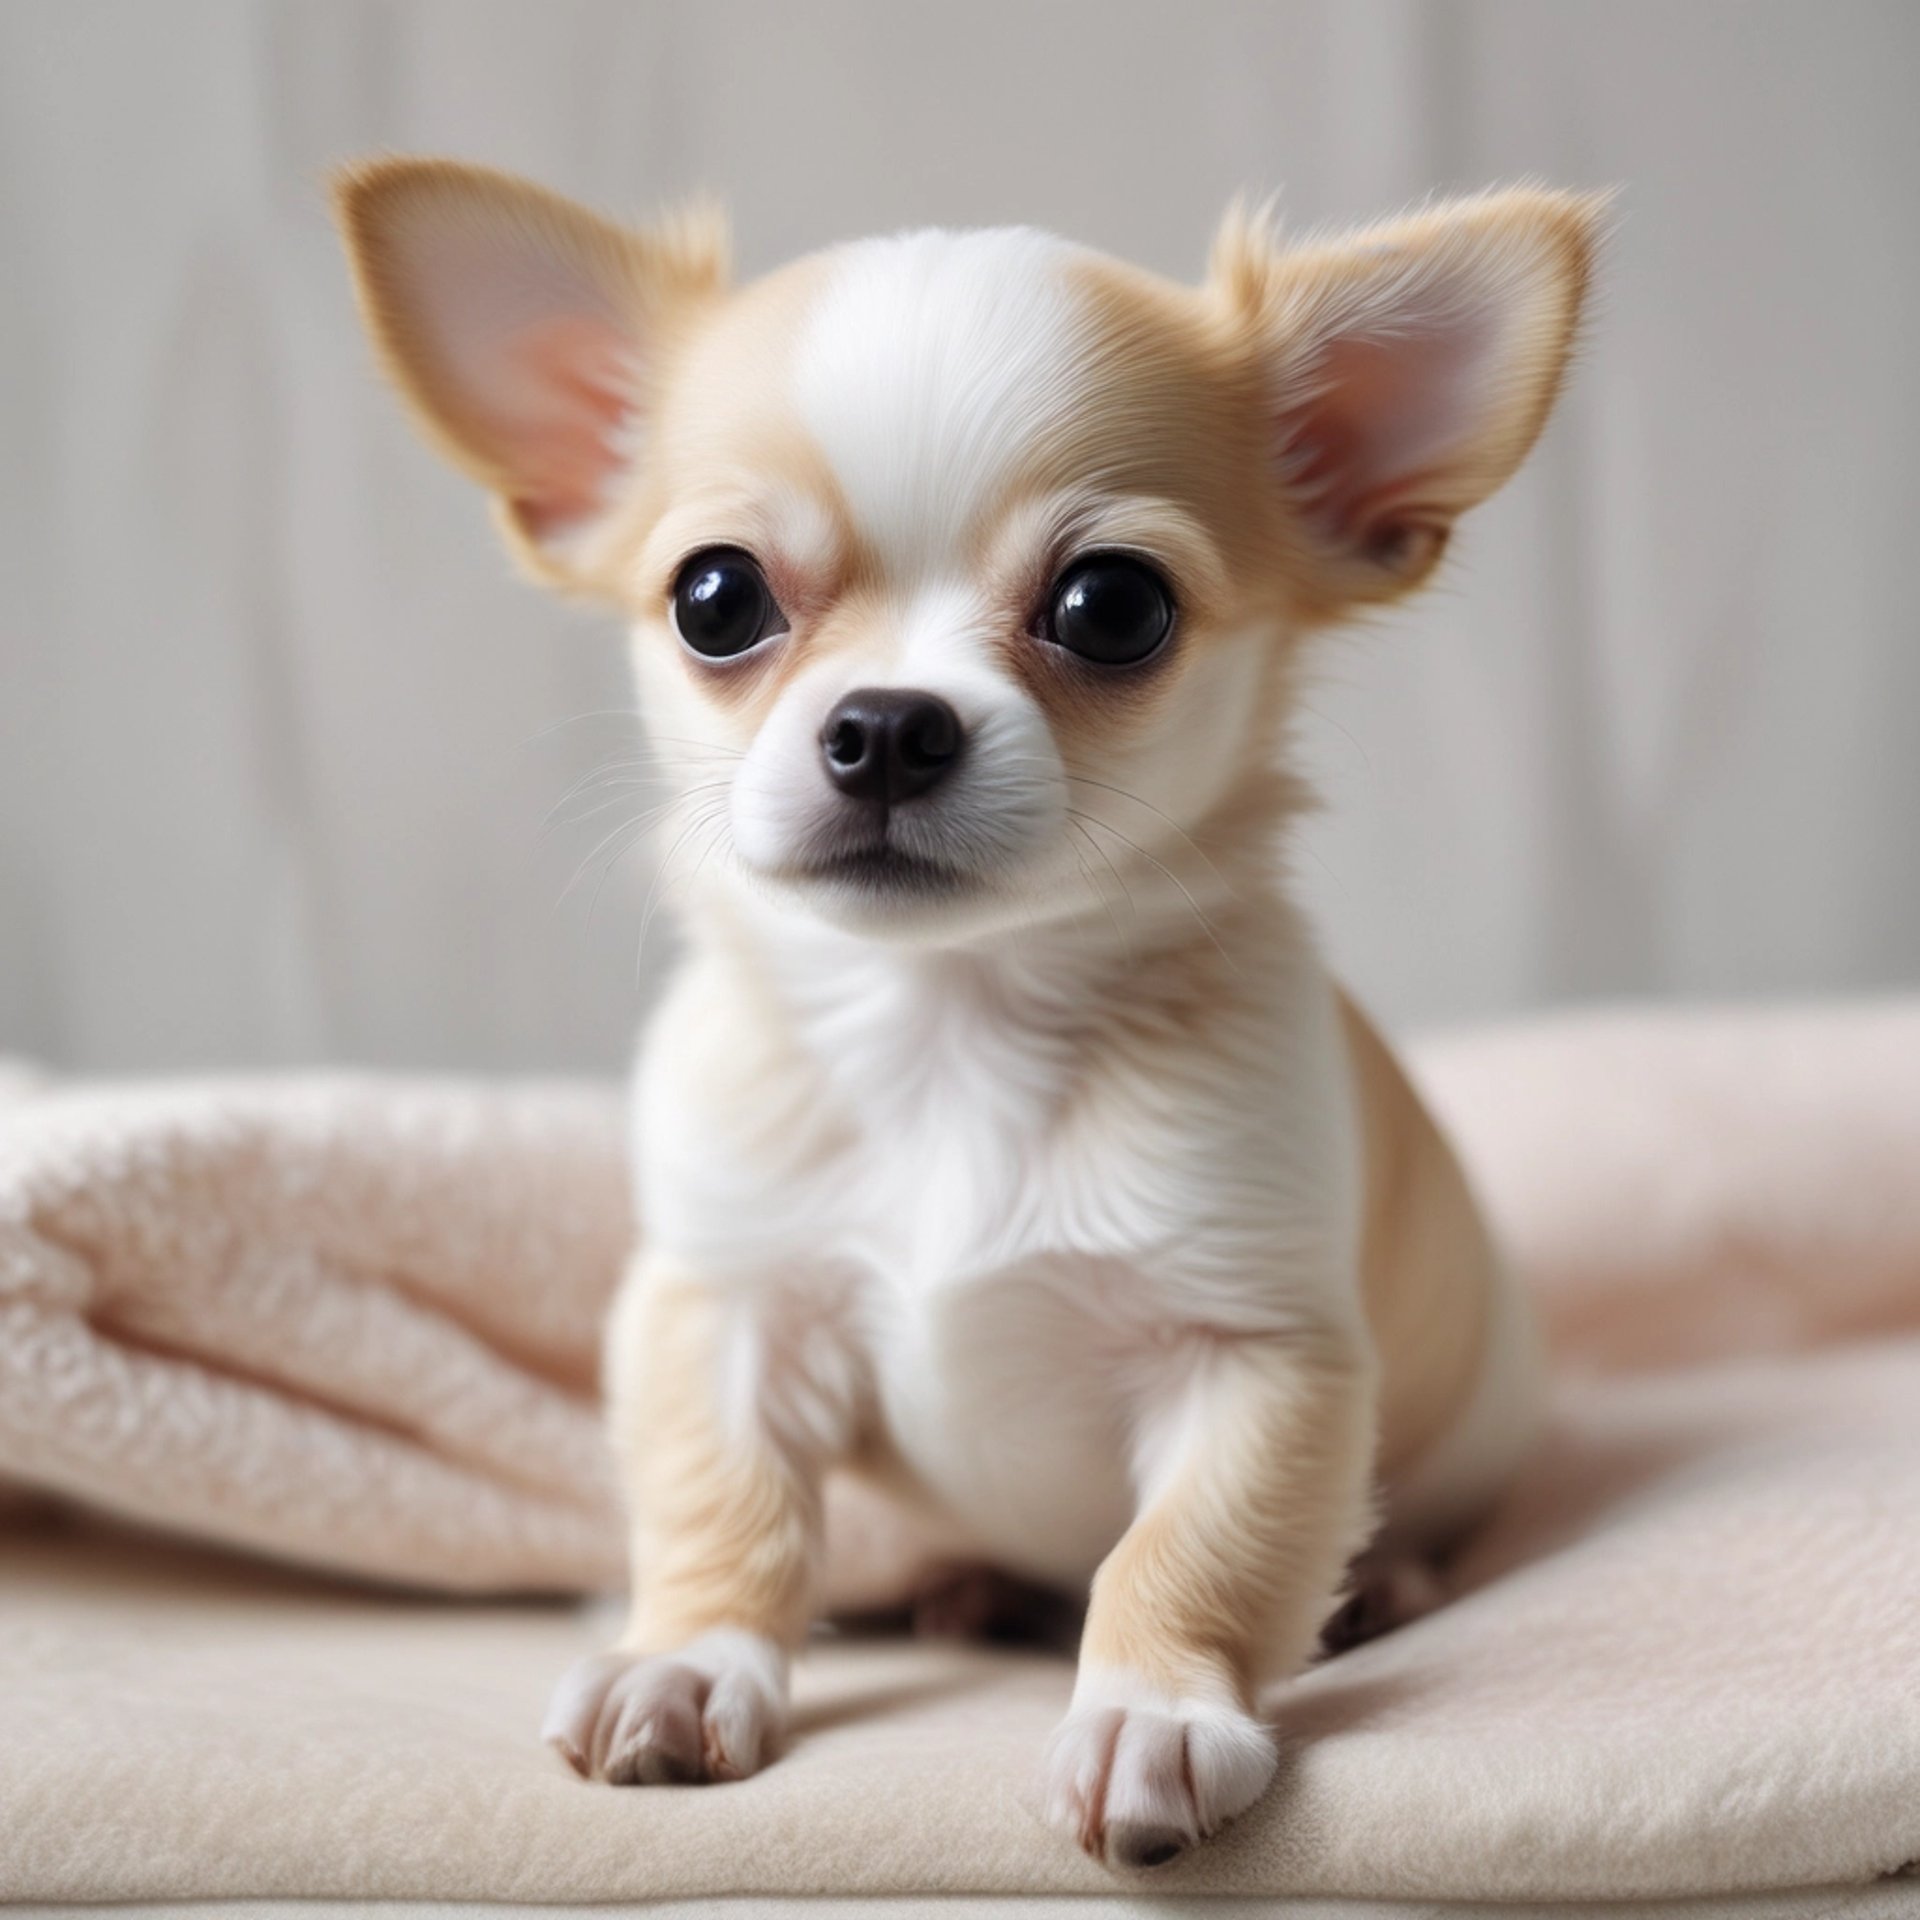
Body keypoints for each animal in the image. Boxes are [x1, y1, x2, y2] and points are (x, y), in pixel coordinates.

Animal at [334, 157, 1605, 1866]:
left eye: (1113, 606)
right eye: (715, 599)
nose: (886, 724)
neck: (949, 1030)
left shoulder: (1250, 1354)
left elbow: (1192, 1549)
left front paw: (1152, 1712)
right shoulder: (726, 1305)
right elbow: (724, 1504)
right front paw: (682, 1660)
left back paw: (1379, 1587)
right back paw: (964, 1589)